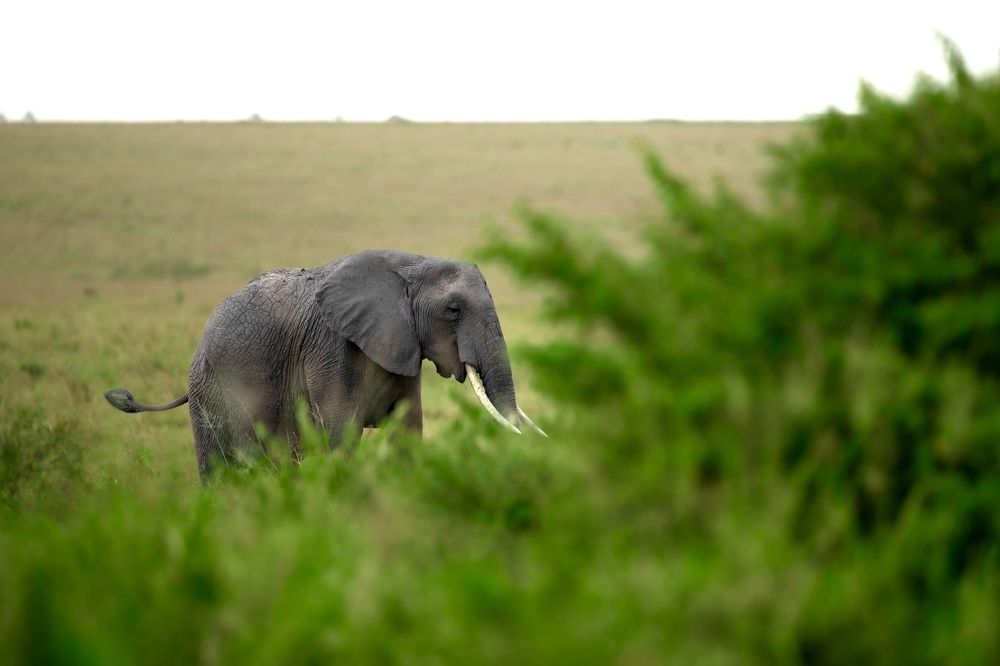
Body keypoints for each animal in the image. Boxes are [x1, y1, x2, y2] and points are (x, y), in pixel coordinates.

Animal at [105, 249, 545, 479]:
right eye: (453, 310)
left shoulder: (400, 345)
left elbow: (408, 427)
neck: (413, 264)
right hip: (213, 387)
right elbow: (340, 432)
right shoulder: (330, 347)